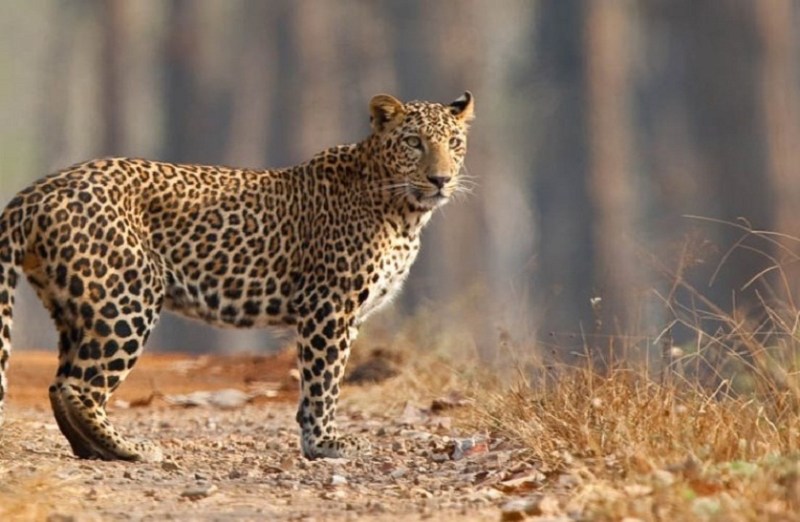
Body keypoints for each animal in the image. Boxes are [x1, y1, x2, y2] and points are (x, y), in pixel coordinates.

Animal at [0, 92, 474, 461]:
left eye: (454, 143)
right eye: (413, 143)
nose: (441, 179)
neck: (404, 212)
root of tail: (35, 192)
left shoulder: (344, 315)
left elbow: (319, 383)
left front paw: (312, 440)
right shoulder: (328, 306)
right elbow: (324, 381)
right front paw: (325, 443)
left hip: (76, 305)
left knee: (58, 385)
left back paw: (93, 450)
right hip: (127, 299)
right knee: (78, 387)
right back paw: (131, 449)